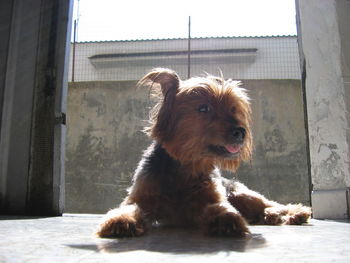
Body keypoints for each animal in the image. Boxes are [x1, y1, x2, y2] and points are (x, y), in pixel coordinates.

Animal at [94, 69, 310, 238]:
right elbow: (128, 207)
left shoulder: (212, 196)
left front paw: (227, 219)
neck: (187, 165)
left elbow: (220, 206)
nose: (241, 131)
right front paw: (120, 221)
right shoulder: (141, 195)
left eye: (233, 109)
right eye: (204, 108)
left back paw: (293, 212)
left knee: (268, 203)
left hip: (239, 192)